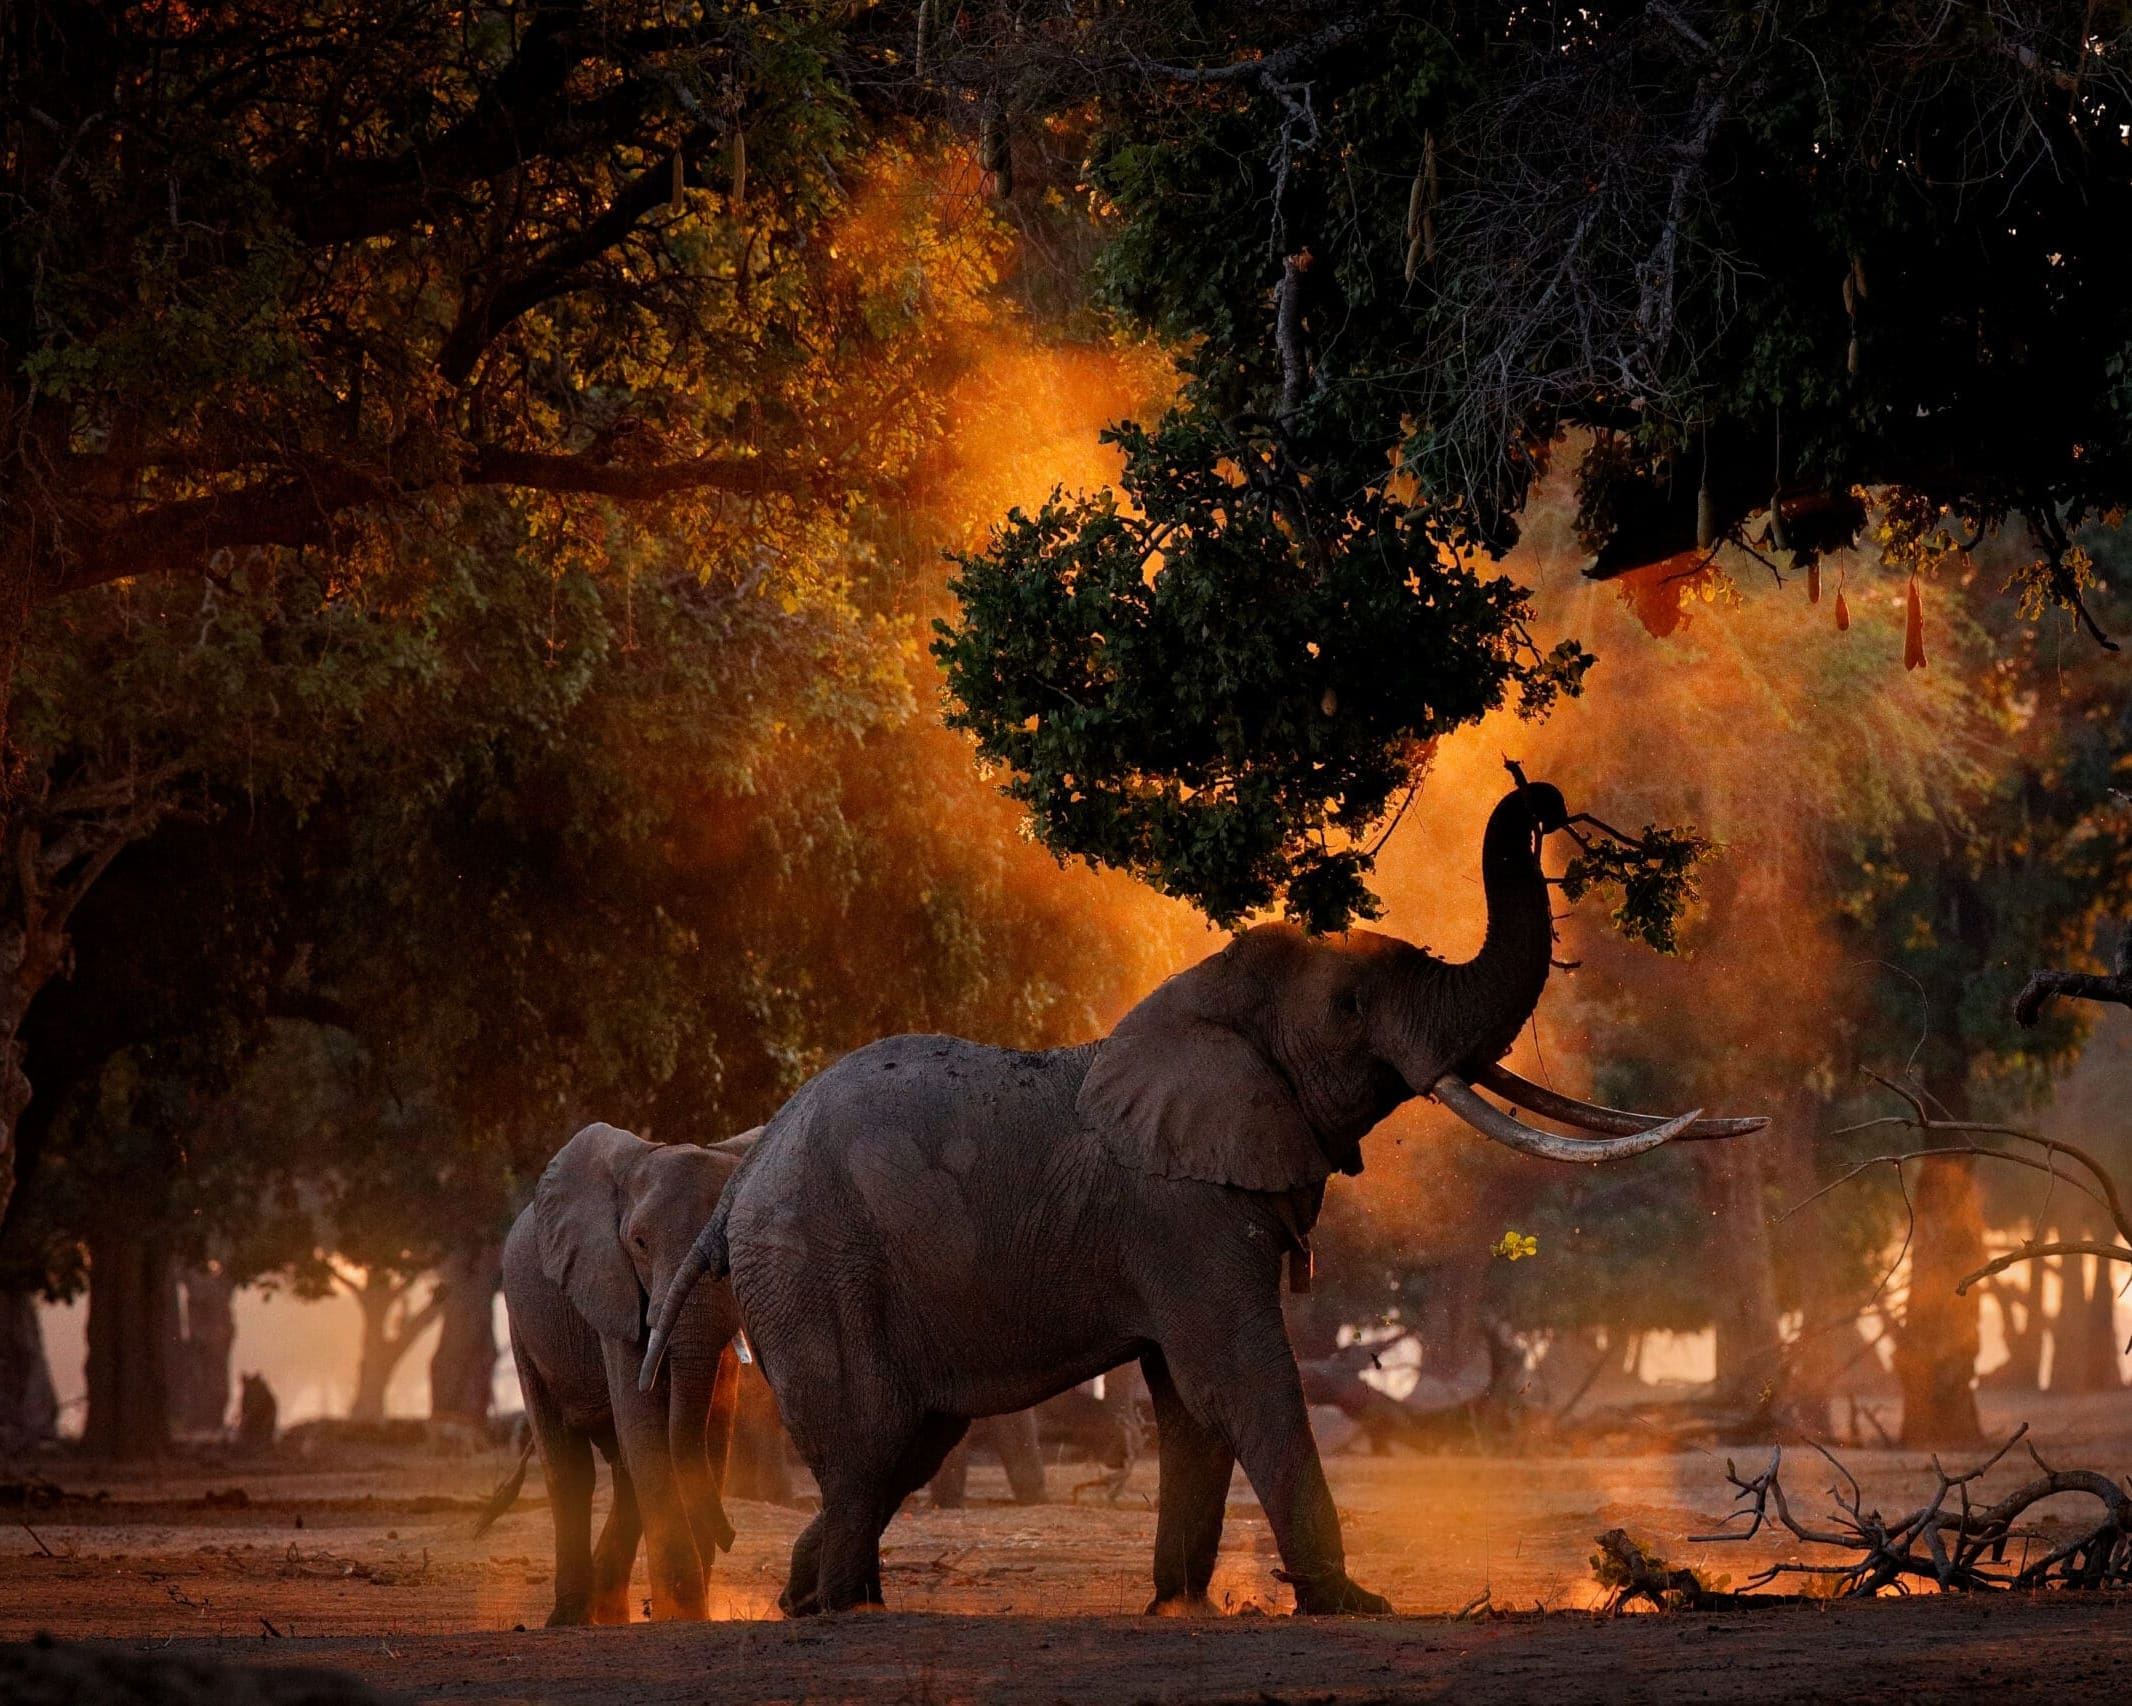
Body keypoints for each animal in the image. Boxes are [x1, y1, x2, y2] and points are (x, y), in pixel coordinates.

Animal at [498, 1117, 758, 1629]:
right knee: (571, 1467)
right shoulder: (608, 1283)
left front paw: (682, 1612)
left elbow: (710, 1430)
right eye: (639, 1243)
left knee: (624, 1472)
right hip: (522, 1326)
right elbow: (645, 1425)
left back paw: (610, 1614)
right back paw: (571, 1619)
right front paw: (682, 1616)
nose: (732, 1536)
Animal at [643, 780, 1765, 1620]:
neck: (1202, 997)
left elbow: (1188, 1400)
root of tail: (741, 1175)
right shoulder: (1178, 1209)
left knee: (901, 1446)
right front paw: (1349, 1602)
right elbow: (1239, 1373)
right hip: (816, 1266)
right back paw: (843, 1609)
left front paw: (1176, 1605)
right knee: (875, 1438)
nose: (1542, 798)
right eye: (1350, 1005)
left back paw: (808, 1597)